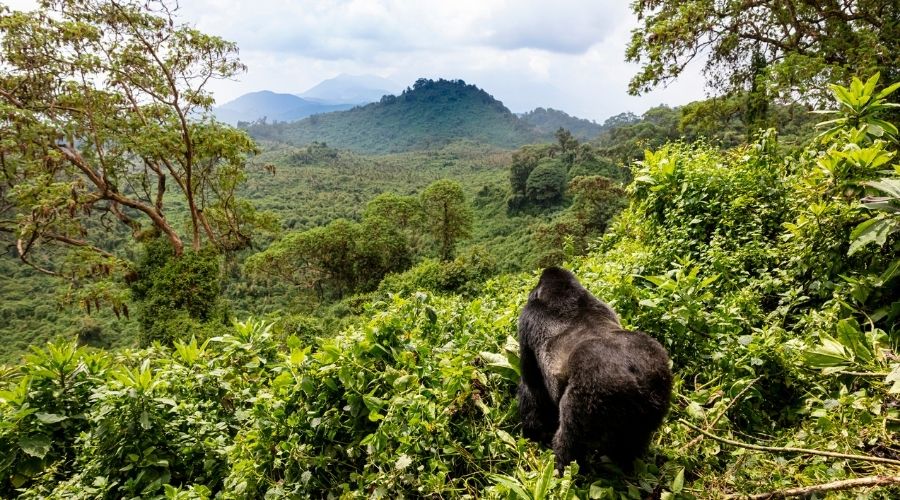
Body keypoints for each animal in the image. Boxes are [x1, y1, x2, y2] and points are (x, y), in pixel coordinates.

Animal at [516, 268, 672, 470]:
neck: (563, 294)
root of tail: (634, 375)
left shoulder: (527, 318)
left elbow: (532, 387)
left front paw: (534, 433)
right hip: (658, 383)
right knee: (634, 440)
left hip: (592, 392)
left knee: (570, 442)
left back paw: (564, 468)